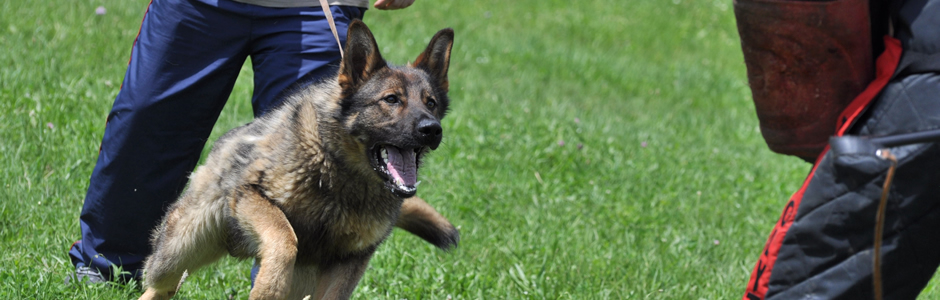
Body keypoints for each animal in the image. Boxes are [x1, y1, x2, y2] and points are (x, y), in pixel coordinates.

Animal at [140, 19, 458, 298]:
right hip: (176, 254)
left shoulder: (349, 260)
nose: (432, 129)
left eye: (431, 103)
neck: (339, 172)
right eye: (391, 99)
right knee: (159, 286)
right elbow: (284, 238)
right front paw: (268, 288)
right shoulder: (252, 194)